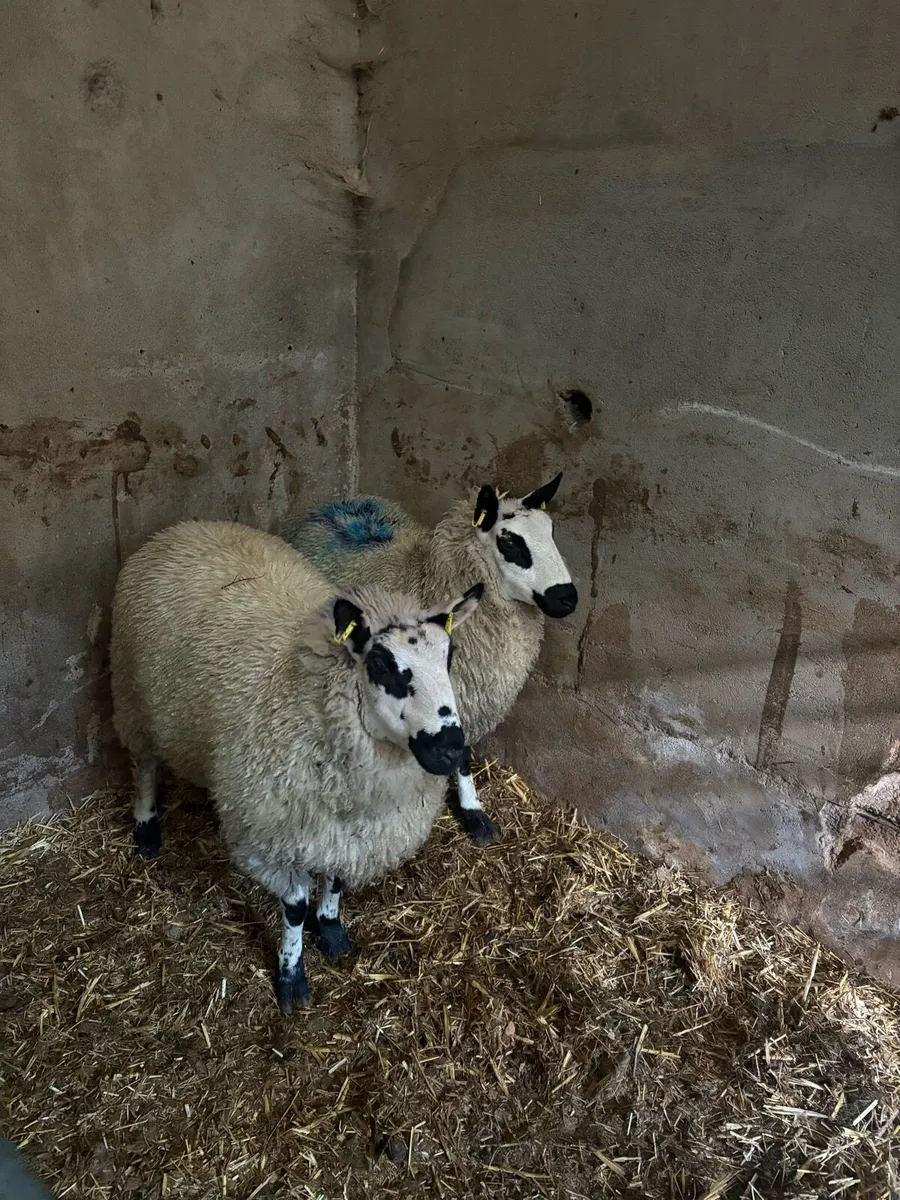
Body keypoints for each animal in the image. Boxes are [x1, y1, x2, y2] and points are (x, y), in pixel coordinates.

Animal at [110, 520, 482, 1012]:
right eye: (383, 665)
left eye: (449, 657)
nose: (453, 750)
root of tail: (188, 526)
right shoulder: (266, 835)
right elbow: (295, 907)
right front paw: (291, 975)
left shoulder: (347, 832)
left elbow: (337, 881)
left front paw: (331, 929)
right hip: (132, 694)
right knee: (145, 763)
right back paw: (147, 828)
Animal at [280, 473, 577, 845]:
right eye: (509, 543)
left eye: (551, 531)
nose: (568, 598)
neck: (429, 581)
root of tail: (337, 503)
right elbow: (460, 756)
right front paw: (473, 815)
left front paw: (473, 808)